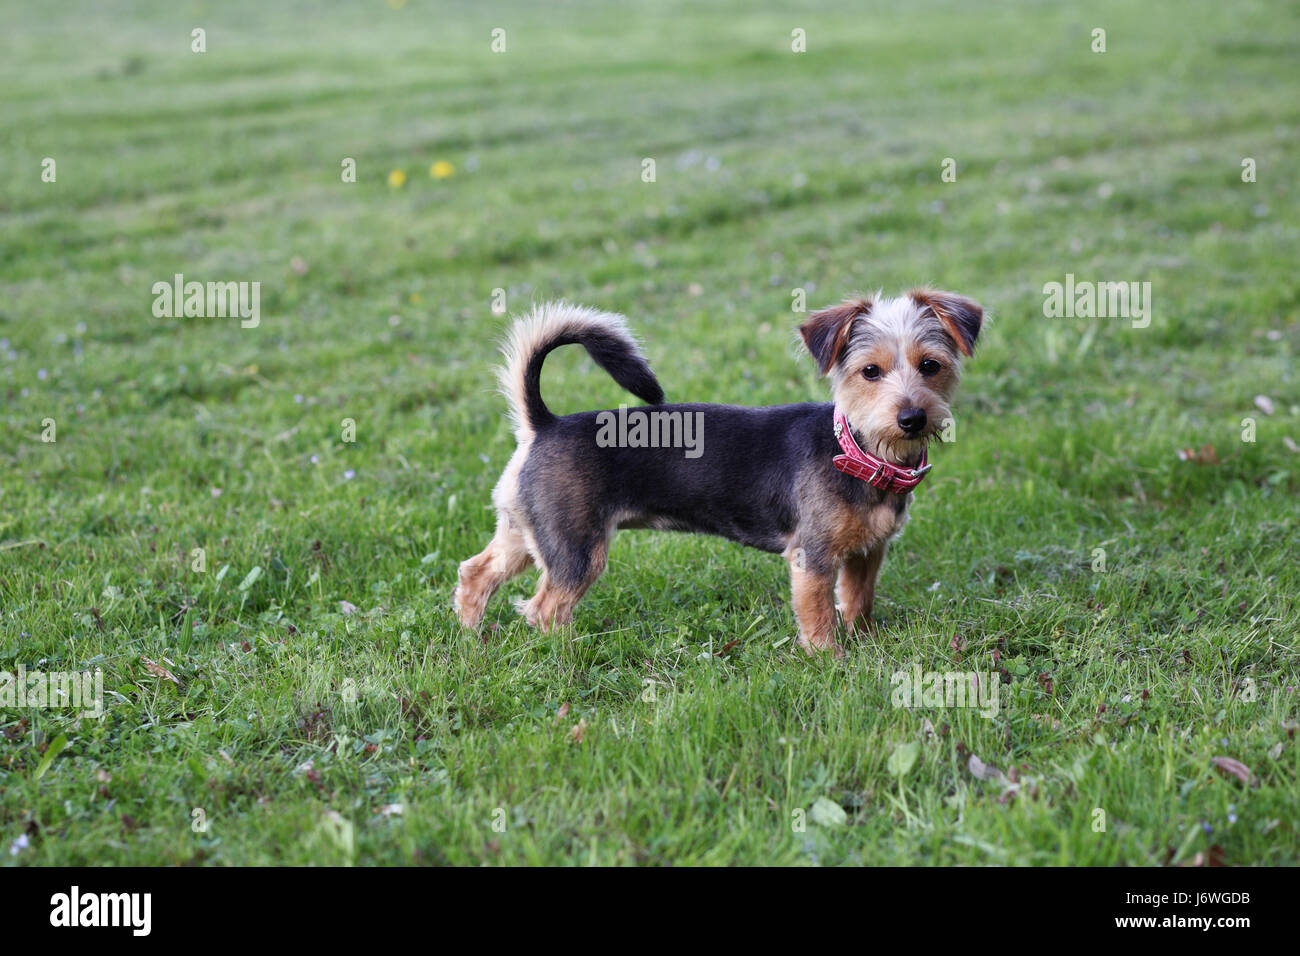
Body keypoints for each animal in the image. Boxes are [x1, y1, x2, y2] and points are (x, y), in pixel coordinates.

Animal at [452, 290, 977, 658]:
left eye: (930, 366)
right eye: (870, 372)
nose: (912, 418)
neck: (858, 451)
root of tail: (543, 424)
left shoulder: (867, 553)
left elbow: (859, 602)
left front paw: (865, 641)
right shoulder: (812, 559)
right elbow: (819, 618)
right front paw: (831, 660)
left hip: (528, 531)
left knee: (476, 572)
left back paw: (470, 635)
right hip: (577, 549)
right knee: (544, 609)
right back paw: (565, 653)